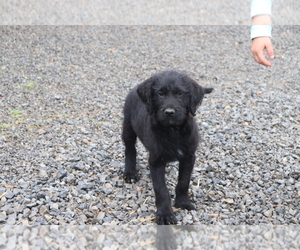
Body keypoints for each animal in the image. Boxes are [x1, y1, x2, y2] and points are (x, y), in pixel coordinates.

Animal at [120, 70, 212, 225]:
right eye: (160, 94)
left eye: (180, 93)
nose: (169, 112)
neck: (172, 130)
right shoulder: (156, 160)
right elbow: (161, 189)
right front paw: (165, 214)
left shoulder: (188, 157)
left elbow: (183, 182)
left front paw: (183, 203)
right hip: (128, 127)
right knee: (130, 149)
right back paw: (130, 173)